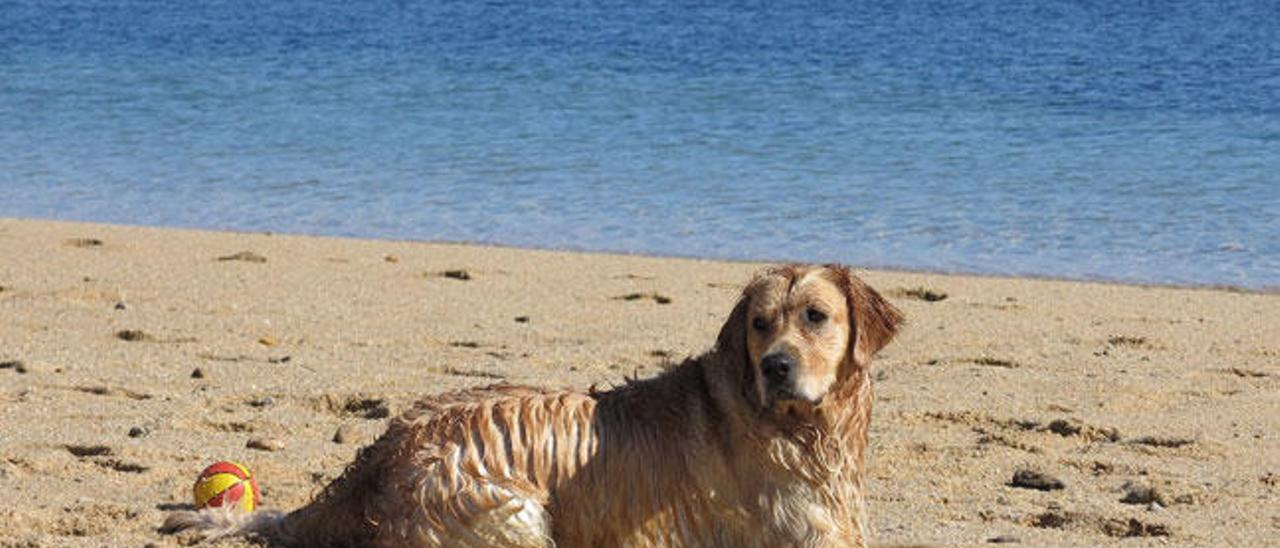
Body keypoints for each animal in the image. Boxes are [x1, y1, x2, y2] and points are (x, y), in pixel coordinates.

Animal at [165, 263, 906, 545]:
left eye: (815, 316)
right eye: (759, 324)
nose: (778, 366)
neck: (801, 429)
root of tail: (383, 451)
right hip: (514, 509)